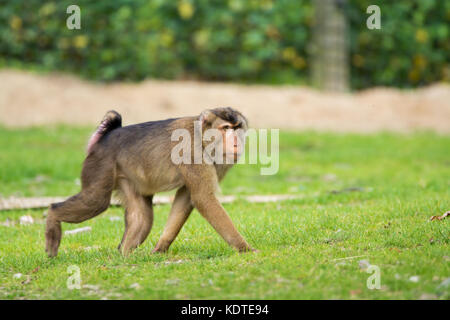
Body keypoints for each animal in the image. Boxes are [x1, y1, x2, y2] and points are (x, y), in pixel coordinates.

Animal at [46, 107, 256, 258]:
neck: (203, 137)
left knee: (142, 217)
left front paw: (160, 247)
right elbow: (203, 198)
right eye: (226, 128)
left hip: (124, 176)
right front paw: (244, 248)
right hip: (100, 164)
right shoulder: (192, 151)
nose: (236, 142)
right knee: (96, 201)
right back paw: (53, 217)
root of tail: (104, 139)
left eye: (237, 128)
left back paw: (125, 255)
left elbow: (186, 197)